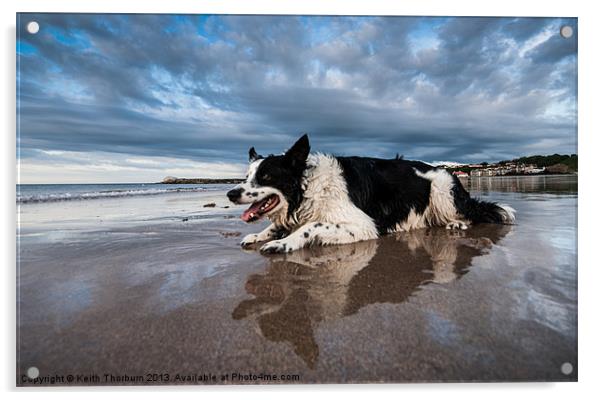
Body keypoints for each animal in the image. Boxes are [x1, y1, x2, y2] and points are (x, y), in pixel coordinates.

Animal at [225, 134, 510, 253]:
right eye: (246, 177)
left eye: (266, 177)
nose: (230, 193)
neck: (308, 188)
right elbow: (277, 226)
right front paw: (259, 235)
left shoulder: (364, 224)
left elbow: (311, 226)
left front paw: (284, 243)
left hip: (441, 190)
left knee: (471, 213)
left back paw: (458, 224)